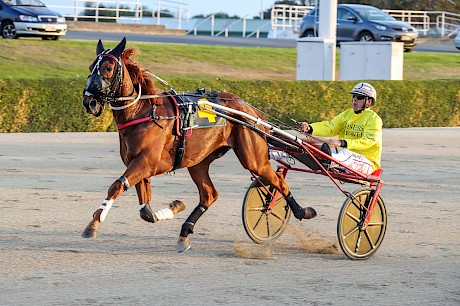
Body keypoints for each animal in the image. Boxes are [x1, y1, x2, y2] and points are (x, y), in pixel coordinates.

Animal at [80, 38, 316, 252]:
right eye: (91, 67)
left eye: (109, 68)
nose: (89, 102)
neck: (145, 112)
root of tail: (251, 111)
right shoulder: (139, 165)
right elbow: (145, 212)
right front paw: (174, 207)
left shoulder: (146, 163)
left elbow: (116, 186)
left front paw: (92, 225)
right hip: (199, 161)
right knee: (209, 194)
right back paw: (185, 233)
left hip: (253, 158)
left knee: (279, 182)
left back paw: (302, 211)